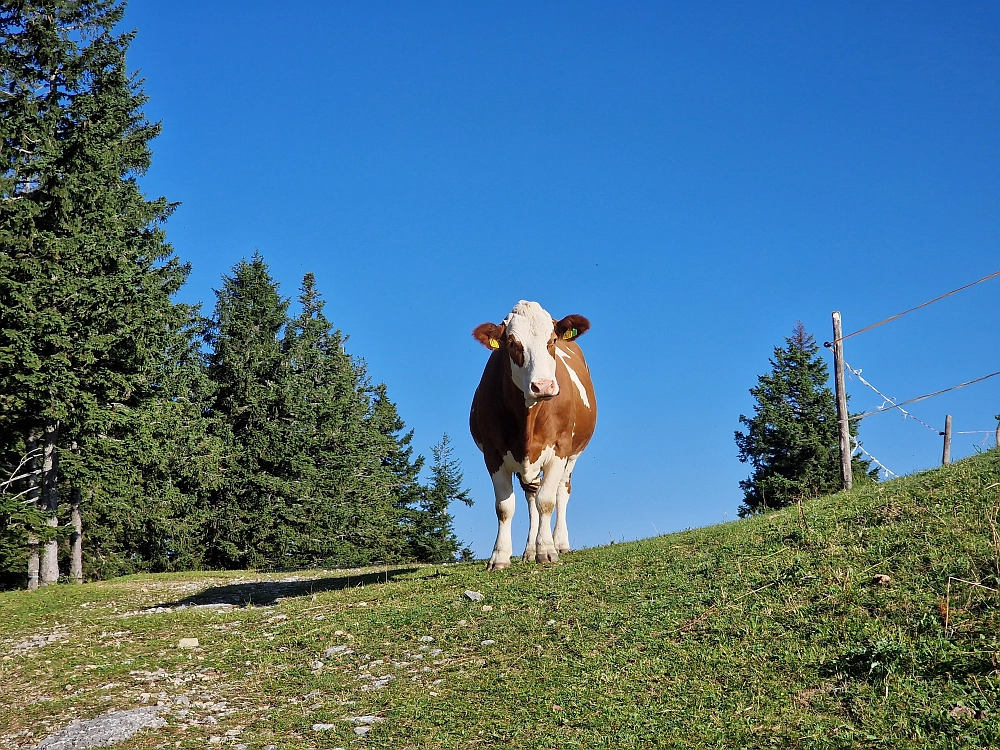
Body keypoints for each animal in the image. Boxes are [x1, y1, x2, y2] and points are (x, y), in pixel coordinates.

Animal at [466, 300, 596, 568]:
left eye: (552, 340)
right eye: (512, 343)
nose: (543, 386)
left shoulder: (559, 449)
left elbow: (546, 501)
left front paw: (546, 550)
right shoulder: (492, 454)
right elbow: (505, 507)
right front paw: (500, 556)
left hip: (572, 455)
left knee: (561, 492)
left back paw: (560, 543)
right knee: (530, 498)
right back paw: (529, 550)